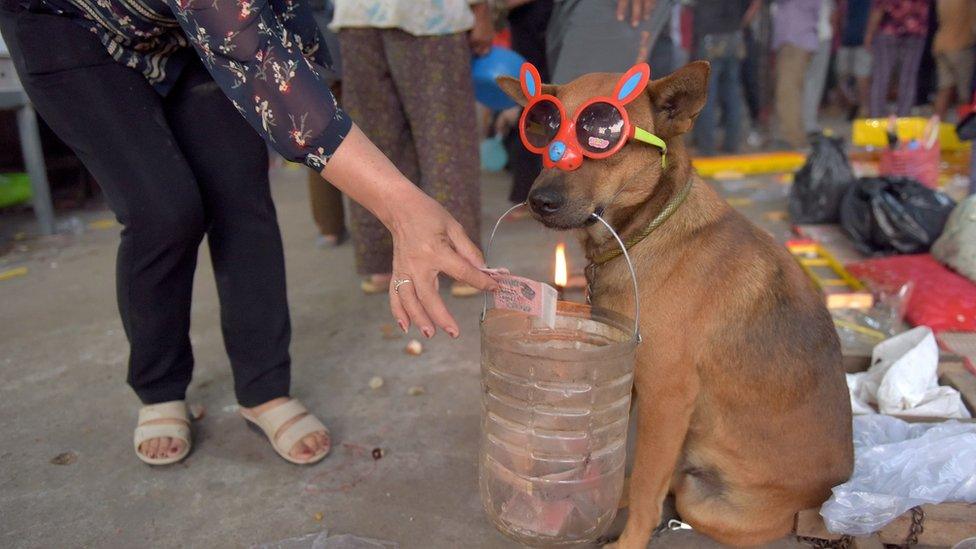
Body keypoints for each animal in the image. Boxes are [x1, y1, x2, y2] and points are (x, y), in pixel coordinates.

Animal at [500, 62, 852, 544]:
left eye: (602, 136)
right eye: (545, 126)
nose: (539, 201)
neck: (645, 232)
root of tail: (823, 500)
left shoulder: (666, 396)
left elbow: (648, 488)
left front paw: (628, 542)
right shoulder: (626, 374)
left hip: (704, 501)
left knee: (670, 488)